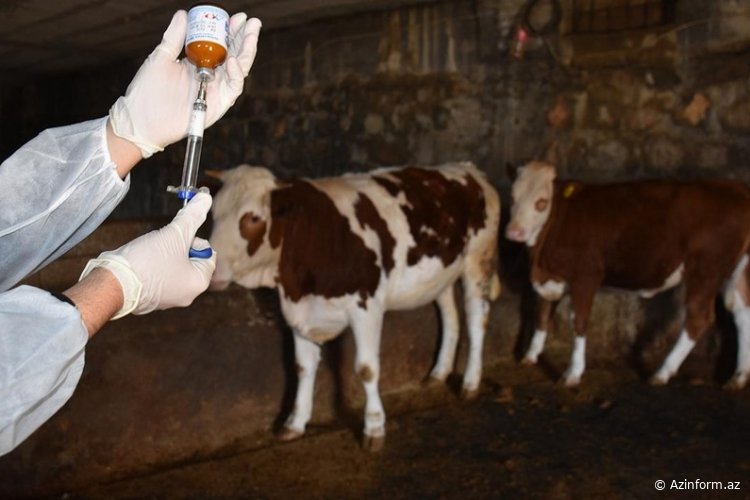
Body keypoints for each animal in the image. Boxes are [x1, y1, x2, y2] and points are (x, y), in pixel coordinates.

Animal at [208, 162, 501, 451]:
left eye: (253, 218)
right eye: (212, 213)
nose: (211, 268)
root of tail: (466, 169)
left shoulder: (366, 307)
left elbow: (366, 369)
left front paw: (374, 428)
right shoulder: (299, 311)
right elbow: (303, 367)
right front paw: (295, 424)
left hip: (478, 262)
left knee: (477, 320)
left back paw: (470, 383)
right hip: (441, 275)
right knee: (450, 316)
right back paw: (439, 373)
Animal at [505, 160, 750, 390]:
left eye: (541, 202)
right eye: (513, 198)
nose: (513, 232)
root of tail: (734, 188)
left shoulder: (586, 276)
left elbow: (579, 322)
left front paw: (573, 373)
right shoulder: (551, 279)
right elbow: (542, 313)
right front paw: (530, 356)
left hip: (706, 269)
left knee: (699, 316)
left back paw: (662, 372)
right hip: (735, 270)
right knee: (741, 312)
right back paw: (738, 377)